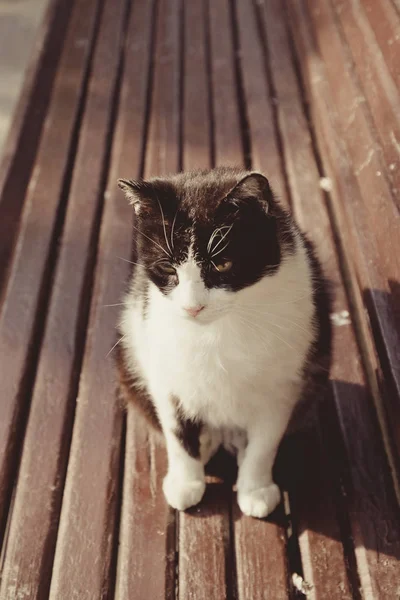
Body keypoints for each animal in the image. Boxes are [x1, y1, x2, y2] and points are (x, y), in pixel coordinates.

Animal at [115, 168, 332, 520]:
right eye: (167, 267)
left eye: (222, 264)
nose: (192, 307)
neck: (219, 328)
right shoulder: (164, 367)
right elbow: (177, 431)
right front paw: (186, 483)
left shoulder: (285, 383)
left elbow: (265, 442)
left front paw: (255, 489)